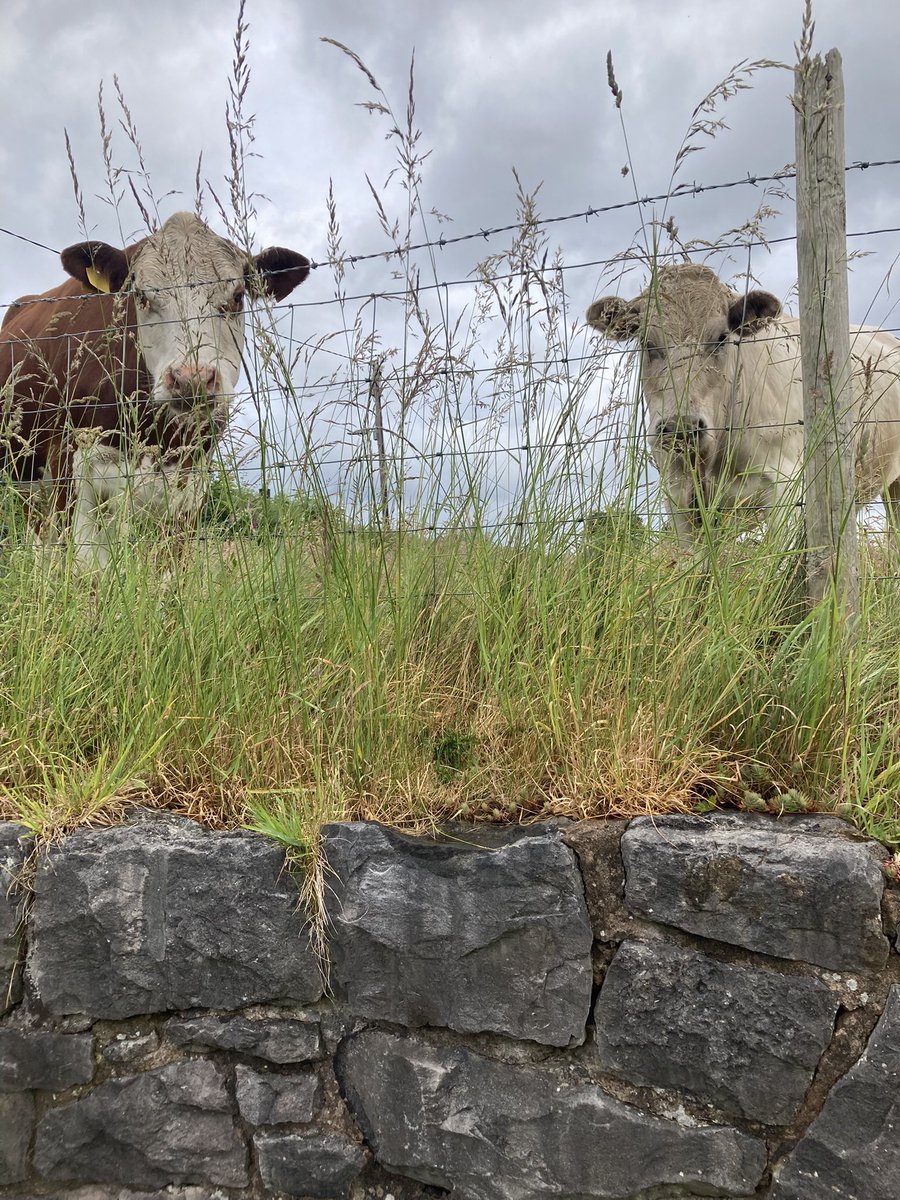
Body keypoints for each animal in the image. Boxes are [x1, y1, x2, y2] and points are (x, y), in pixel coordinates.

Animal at [0, 211, 310, 566]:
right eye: (142, 296)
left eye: (237, 296)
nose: (191, 379)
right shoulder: (70, 464)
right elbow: (86, 567)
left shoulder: (190, 480)